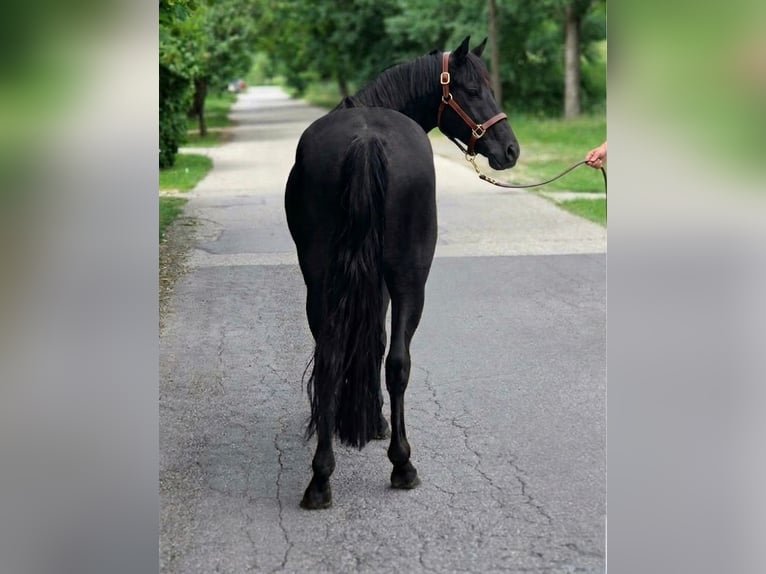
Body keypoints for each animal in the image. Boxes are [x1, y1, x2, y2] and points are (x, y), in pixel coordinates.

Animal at [284, 36, 520, 509]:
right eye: (472, 90)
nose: (510, 150)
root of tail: (365, 139)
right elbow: (376, 344)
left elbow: (370, 343)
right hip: (408, 278)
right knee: (394, 362)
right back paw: (397, 464)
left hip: (327, 280)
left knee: (350, 358)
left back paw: (326, 477)